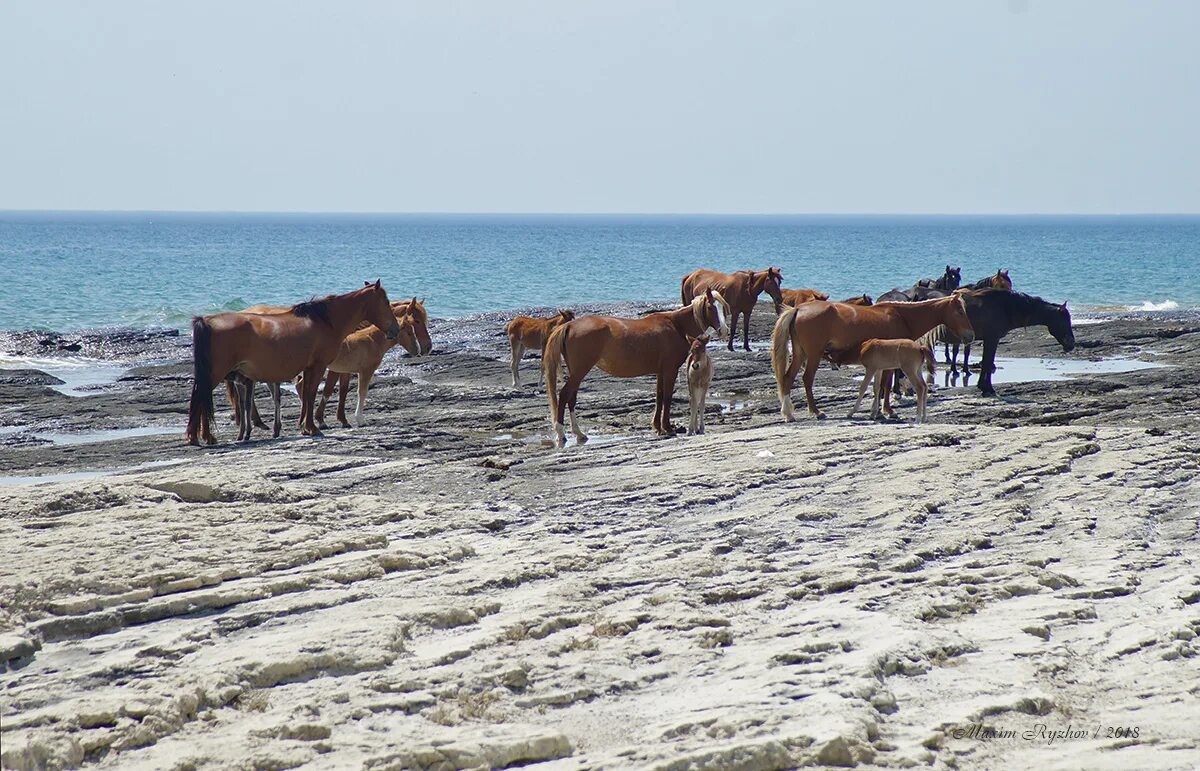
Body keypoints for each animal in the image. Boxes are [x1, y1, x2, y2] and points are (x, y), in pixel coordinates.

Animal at [182, 281, 398, 444]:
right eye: (386, 302)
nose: (394, 329)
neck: (325, 322)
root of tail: (207, 321)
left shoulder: (309, 368)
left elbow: (307, 395)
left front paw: (304, 427)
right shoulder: (318, 366)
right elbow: (311, 394)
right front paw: (312, 428)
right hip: (216, 373)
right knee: (200, 397)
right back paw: (202, 437)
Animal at [544, 288, 729, 444]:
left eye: (722, 306)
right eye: (711, 307)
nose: (724, 330)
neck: (676, 325)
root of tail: (569, 325)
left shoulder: (660, 372)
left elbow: (659, 397)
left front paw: (658, 427)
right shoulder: (670, 370)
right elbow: (667, 397)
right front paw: (668, 428)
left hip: (577, 372)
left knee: (571, 398)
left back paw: (579, 433)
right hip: (580, 371)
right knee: (564, 395)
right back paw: (561, 433)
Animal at [768, 294, 974, 420]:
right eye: (960, 311)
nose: (970, 336)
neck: (902, 316)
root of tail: (798, 309)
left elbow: (880, 386)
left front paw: (880, 411)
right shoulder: (890, 362)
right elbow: (886, 385)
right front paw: (888, 411)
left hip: (800, 353)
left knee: (788, 378)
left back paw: (788, 413)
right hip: (813, 355)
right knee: (807, 379)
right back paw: (816, 412)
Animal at [916, 288, 1080, 396]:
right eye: (1064, 321)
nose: (1071, 344)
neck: (1005, 307)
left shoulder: (990, 340)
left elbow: (987, 363)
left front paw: (983, 386)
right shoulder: (992, 339)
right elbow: (988, 363)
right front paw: (987, 388)